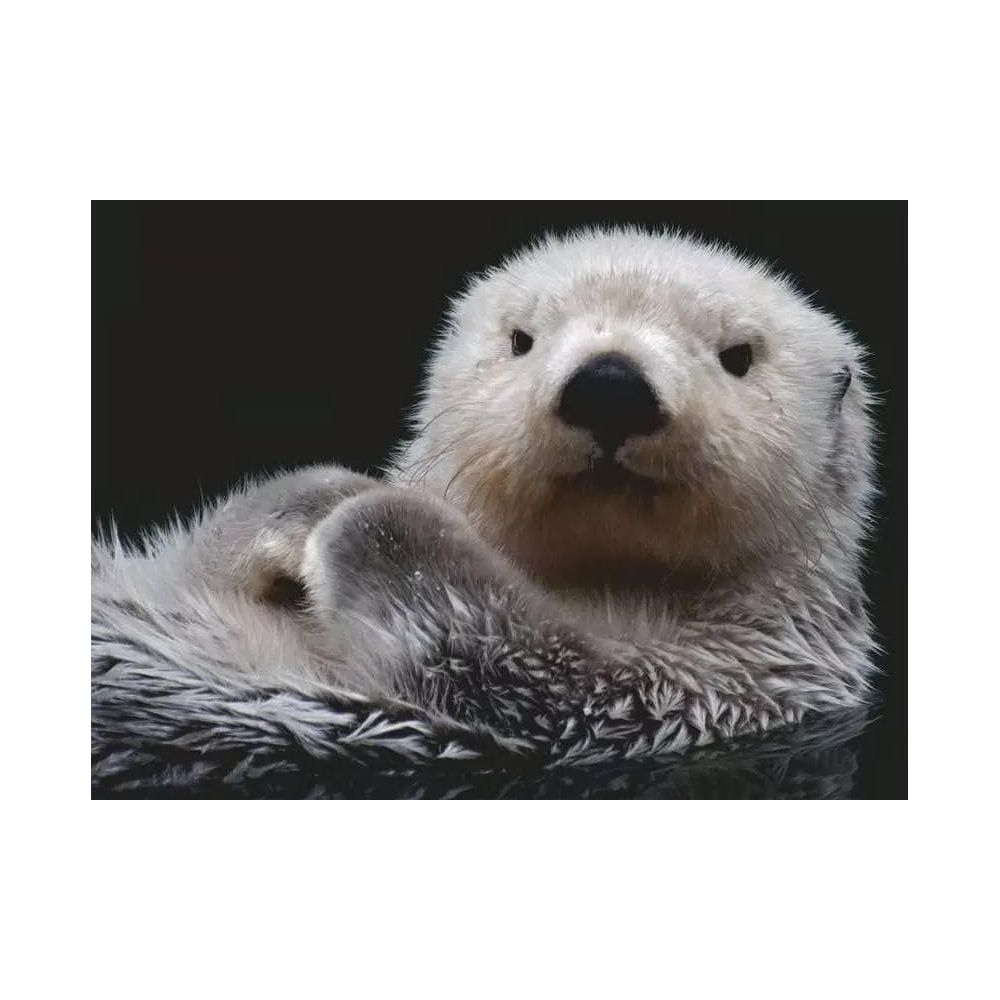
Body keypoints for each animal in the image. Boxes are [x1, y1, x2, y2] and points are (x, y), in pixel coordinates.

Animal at [92, 228, 876, 765]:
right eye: (522, 339)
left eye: (739, 356)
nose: (610, 386)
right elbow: (199, 554)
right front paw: (314, 500)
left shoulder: (708, 684)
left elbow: (511, 654)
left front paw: (368, 514)